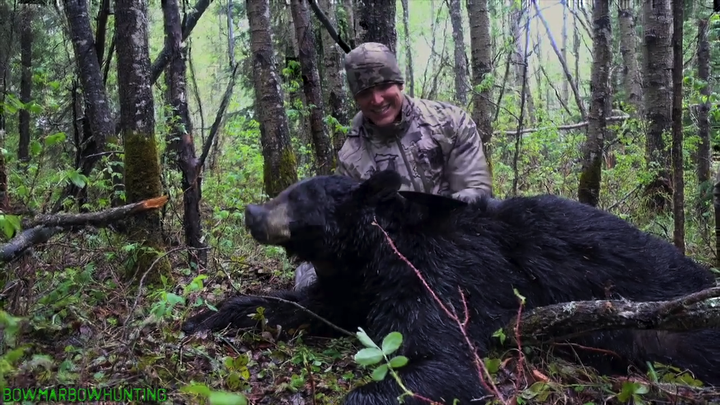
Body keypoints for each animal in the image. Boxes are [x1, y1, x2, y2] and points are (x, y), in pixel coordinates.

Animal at [181, 169, 720, 402]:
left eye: (297, 195)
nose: (251, 211)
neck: (373, 250)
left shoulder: (448, 271)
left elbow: (443, 359)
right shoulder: (356, 285)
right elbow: (308, 306)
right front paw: (207, 315)